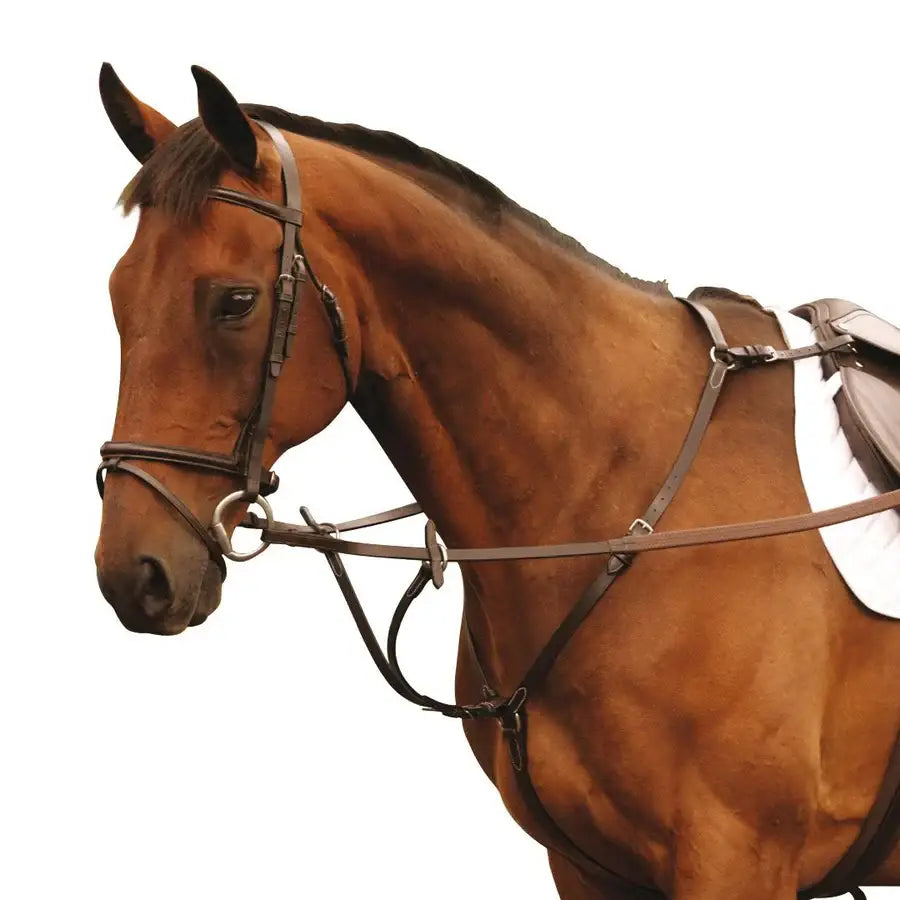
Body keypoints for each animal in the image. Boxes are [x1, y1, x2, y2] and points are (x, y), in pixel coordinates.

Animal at [94, 64, 900, 899]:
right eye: (119, 297)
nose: (135, 573)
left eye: (236, 302)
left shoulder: (737, 856)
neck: (618, 502)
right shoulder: (586, 867)